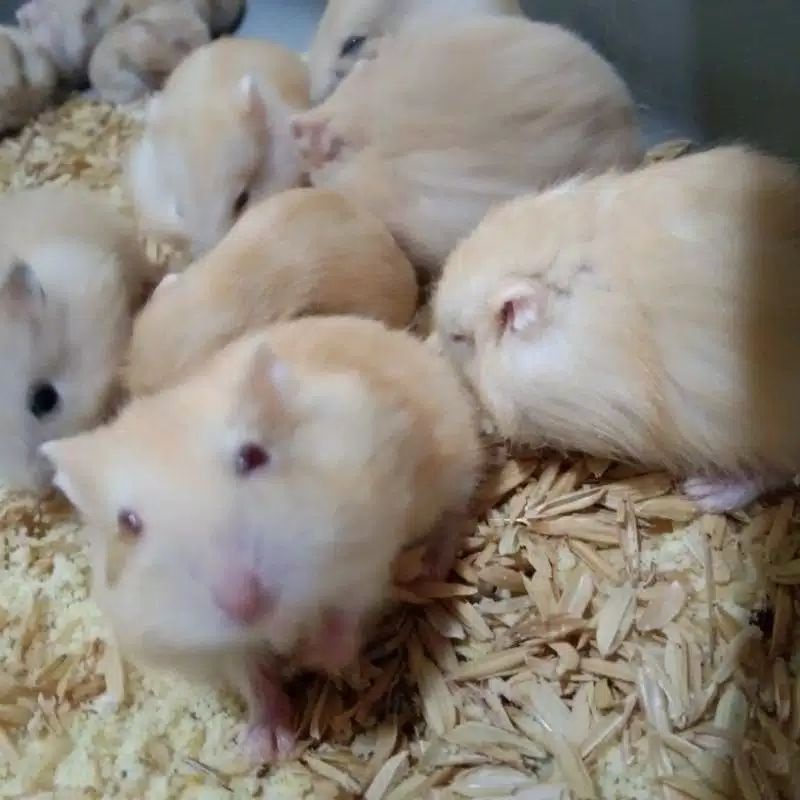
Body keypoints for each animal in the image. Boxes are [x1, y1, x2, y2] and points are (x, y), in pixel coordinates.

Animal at [42, 315, 481, 760]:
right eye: (128, 523)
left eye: (252, 455)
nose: (246, 606)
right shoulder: (219, 649)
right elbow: (253, 679)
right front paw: (263, 747)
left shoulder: (364, 549)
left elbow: (343, 623)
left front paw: (304, 657)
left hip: (456, 456)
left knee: (455, 514)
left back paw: (428, 568)